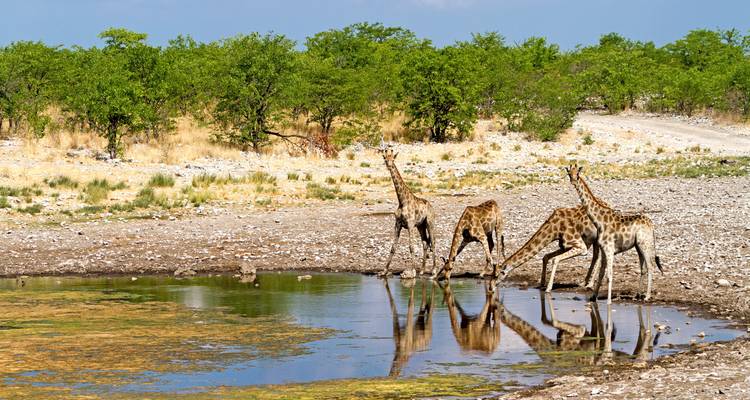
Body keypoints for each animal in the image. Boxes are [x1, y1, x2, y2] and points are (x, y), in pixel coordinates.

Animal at [380, 147, 437, 277]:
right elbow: (393, 247)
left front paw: (412, 271)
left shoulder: (410, 224)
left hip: (430, 222)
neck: (402, 201)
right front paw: (384, 271)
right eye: (385, 159)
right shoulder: (398, 224)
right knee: (425, 243)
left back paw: (433, 270)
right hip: (421, 226)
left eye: (393, 159)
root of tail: (431, 206)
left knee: (432, 241)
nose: (389, 166)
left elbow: (411, 247)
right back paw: (422, 270)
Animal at [566, 164, 663, 303]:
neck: (598, 221)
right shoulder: (603, 249)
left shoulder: (609, 249)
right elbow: (601, 273)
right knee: (643, 268)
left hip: (645, 243)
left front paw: (608, 302)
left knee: (650, 267)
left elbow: (609, 275)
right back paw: (637, 295)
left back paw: (647, 296)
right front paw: (593, 297)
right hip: (638, 246)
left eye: (577, 174)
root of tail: (651, 225)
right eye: (569, 174)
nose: (573, 181)